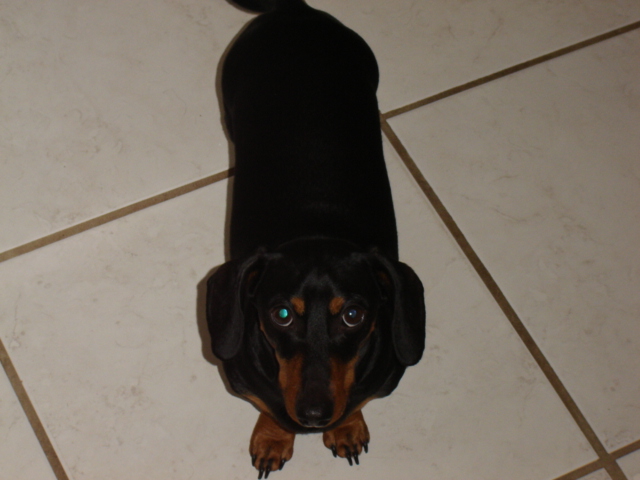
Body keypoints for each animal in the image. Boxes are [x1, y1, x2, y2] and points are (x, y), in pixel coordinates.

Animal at [206, 0, 426, 477]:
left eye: (355, 315)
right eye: (283, 314)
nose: (313, 416)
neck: (315, 227)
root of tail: (295, 11)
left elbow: (358, 401)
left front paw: (346, 428)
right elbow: (267, 406)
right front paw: (274, 437)